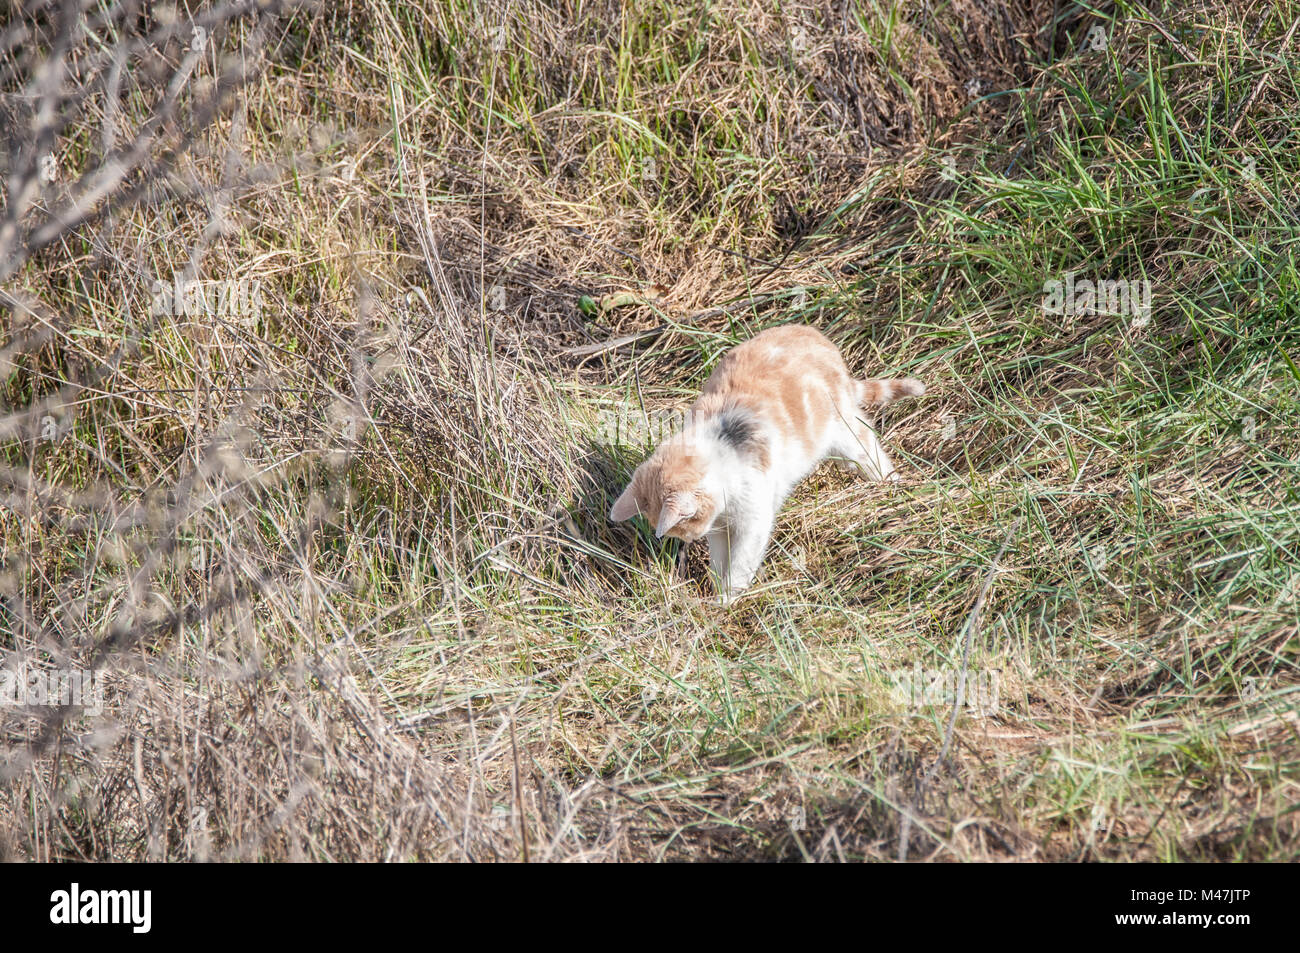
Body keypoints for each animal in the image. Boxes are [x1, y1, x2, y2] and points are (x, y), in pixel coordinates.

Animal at [608, 323, 925, 598]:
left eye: (686, 528)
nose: (690, 540)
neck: (721, 448)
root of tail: (817, 337)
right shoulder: (720, 527)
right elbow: (720, 563)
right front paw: (717, 593)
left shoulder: (753, 521)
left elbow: (740, 565)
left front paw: (726, 601)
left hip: (848, 437)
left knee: (872, 453)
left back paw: (894, 487)